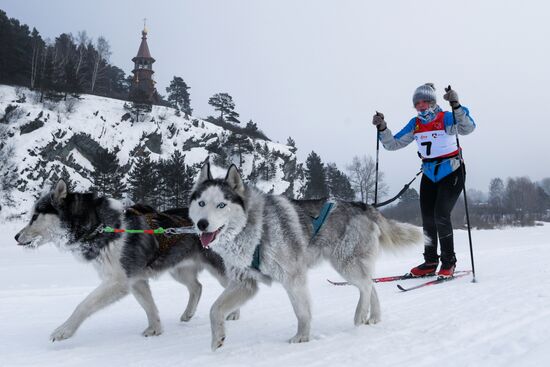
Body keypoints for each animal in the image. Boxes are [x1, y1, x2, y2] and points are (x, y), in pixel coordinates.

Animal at [16, 180, 237, 344]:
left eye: (35, 216)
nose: (16, 236)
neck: (100, 226)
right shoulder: (135, 281)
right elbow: (150, 307)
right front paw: (155, 329)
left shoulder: (118, 281)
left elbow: (83, 305)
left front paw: (64, 330)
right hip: (179, 269)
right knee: (197, 287)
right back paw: (188, 314)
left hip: (218, 269)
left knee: (232, 284)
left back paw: (233, 312)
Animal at [189, 164, 422, 350]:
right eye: (201, 203)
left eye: (221, 205)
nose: (202, 224)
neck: (254, 228)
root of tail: (363, 206)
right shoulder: (244, 282)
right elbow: (214, 309)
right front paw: (217, 339)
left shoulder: (293, 278)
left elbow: (302, 312)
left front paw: (302, 337)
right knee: (371, 285)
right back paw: (372, 316)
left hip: (346, 265)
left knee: (365, 286)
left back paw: (359, 314)